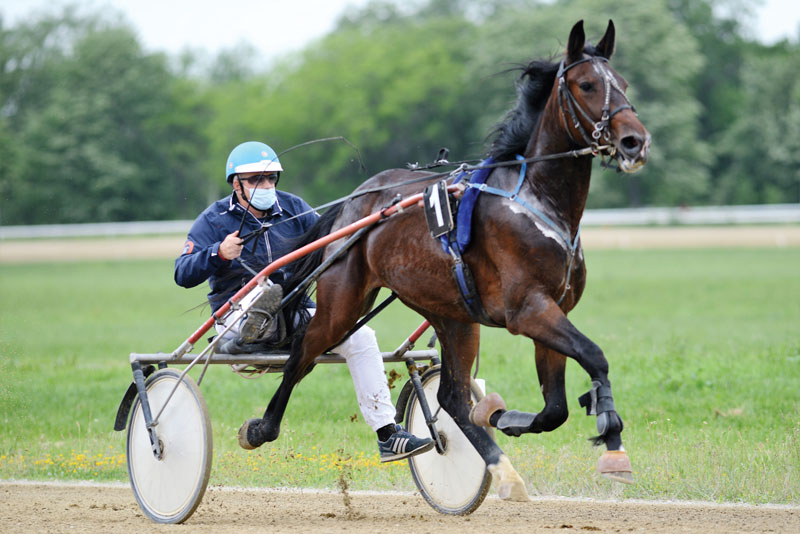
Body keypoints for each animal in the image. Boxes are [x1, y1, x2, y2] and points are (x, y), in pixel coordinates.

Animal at [238, 18, 648, 500]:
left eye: (623, 83)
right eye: (586, 85)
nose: (635, 140)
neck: (537, 200)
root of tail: (359, 198)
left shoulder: (552, 309)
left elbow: (555, 409)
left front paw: (502, 415)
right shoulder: (528, 310)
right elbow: (594, 356)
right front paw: (613, 441)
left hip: (451, 314)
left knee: (451, 396)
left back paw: (501, 468)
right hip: (343, 302)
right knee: (301, 353)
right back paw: (260, 428)